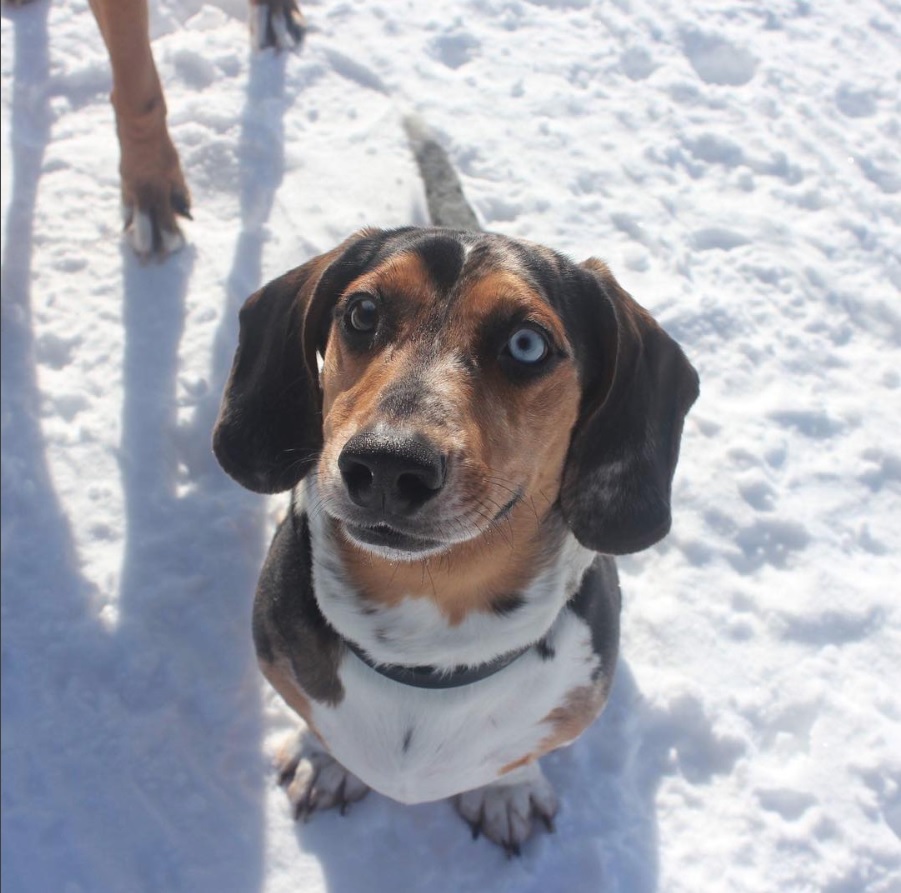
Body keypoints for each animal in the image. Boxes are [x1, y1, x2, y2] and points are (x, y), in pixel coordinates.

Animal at [211, 223, 696, 852]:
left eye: (526, 344)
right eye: (363, 312)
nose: (388, 463)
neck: (427, 636)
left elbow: (518, 757)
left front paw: (506, 792)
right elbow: (316, 719)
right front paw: (325, 760)